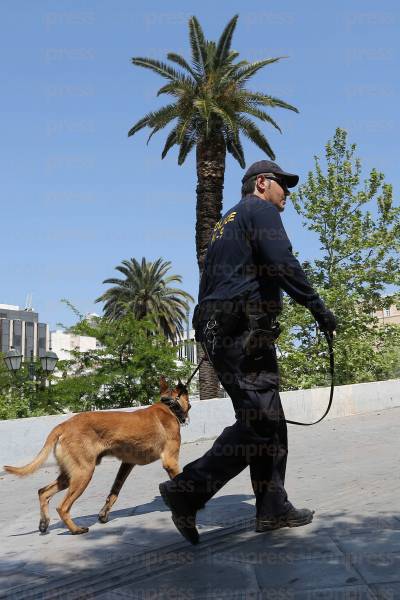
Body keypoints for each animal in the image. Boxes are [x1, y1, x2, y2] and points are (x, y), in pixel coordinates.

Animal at [3, 378, 191, 536]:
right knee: (62, 507)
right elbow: (181, 483)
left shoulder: (127, 464)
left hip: (70, 475)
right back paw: (75, 530)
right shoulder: (170, 462)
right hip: (83, 473)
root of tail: (63, 425)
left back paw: (44, 523)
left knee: (43, 492)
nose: (187, 417)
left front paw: (103, 515)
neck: (169, 407)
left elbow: (114, 491)